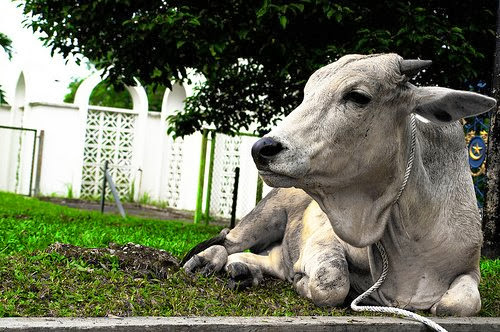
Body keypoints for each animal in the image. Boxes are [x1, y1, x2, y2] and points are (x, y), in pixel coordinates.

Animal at [182, 53, 494, 316]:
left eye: (357, 96)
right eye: (307, 94)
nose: (262, 149)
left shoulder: (470, 269)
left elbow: (459, 303)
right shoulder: (325, 240)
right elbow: (332, 284)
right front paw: (302, 282)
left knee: (263, 259)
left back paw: (245, 272)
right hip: (262, 217)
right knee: (227, 241)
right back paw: (207, 261)